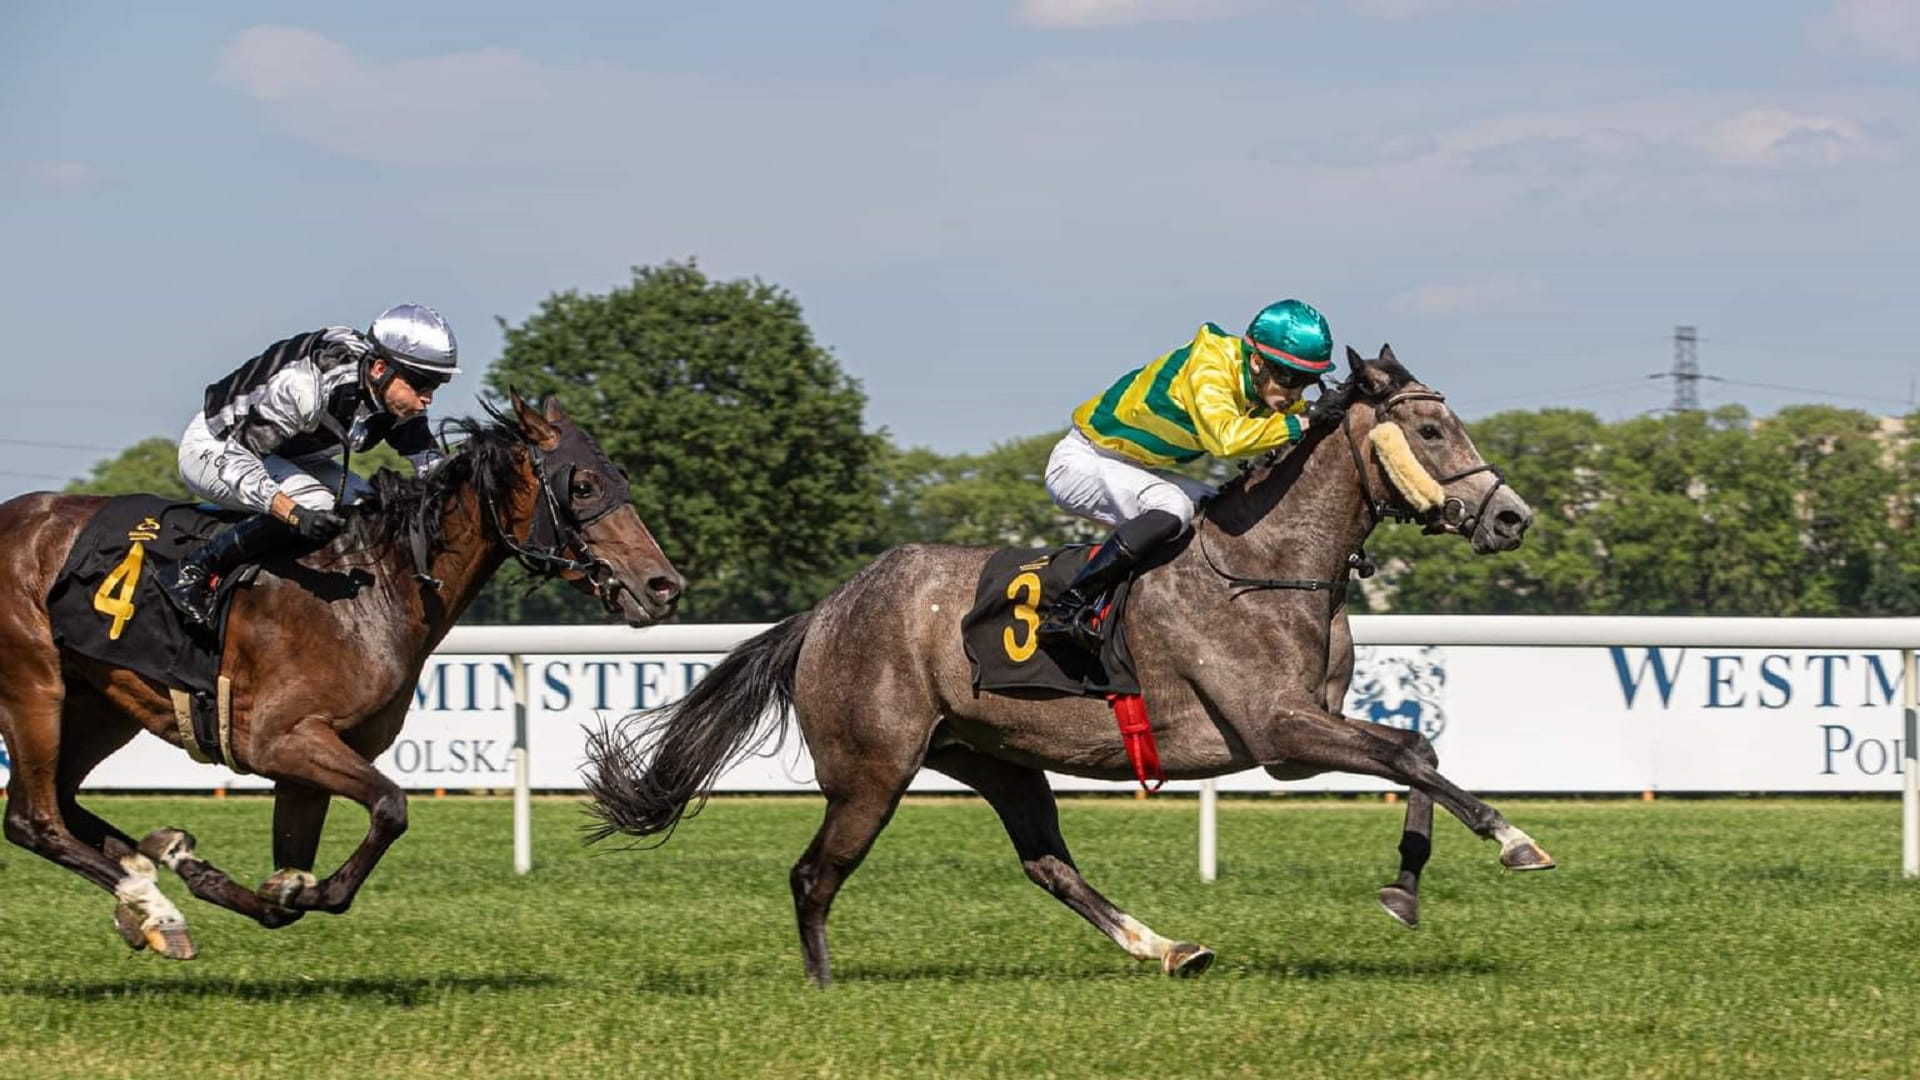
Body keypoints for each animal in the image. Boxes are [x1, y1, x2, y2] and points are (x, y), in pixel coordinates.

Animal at [0, 390, 683, 953]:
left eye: (618, 478)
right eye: (584, 486)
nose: (663, 586)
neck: (374, 587)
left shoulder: (310, 760)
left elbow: (287, 895)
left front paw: (217, 871)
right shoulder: (279, 738)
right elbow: (390, 806)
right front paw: (276, 885)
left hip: (98, 706)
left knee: (63, 803)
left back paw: (149, 874)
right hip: (33, 685)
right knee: (33, 820)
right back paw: (152, 905)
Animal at [583, 345, 1543, 983]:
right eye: (1430, 427)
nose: (1511, 518)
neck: (1266, 561)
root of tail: (827, 610)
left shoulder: (1300, 736)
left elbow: (1416, 753)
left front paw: (1406, 888)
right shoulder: (1278, 730)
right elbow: (1409, 753)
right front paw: (1514, 841)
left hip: (995, 757)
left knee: (1048, 864)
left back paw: (1168, 946)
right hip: (871, 769)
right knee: (815, 873)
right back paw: (822, 988)